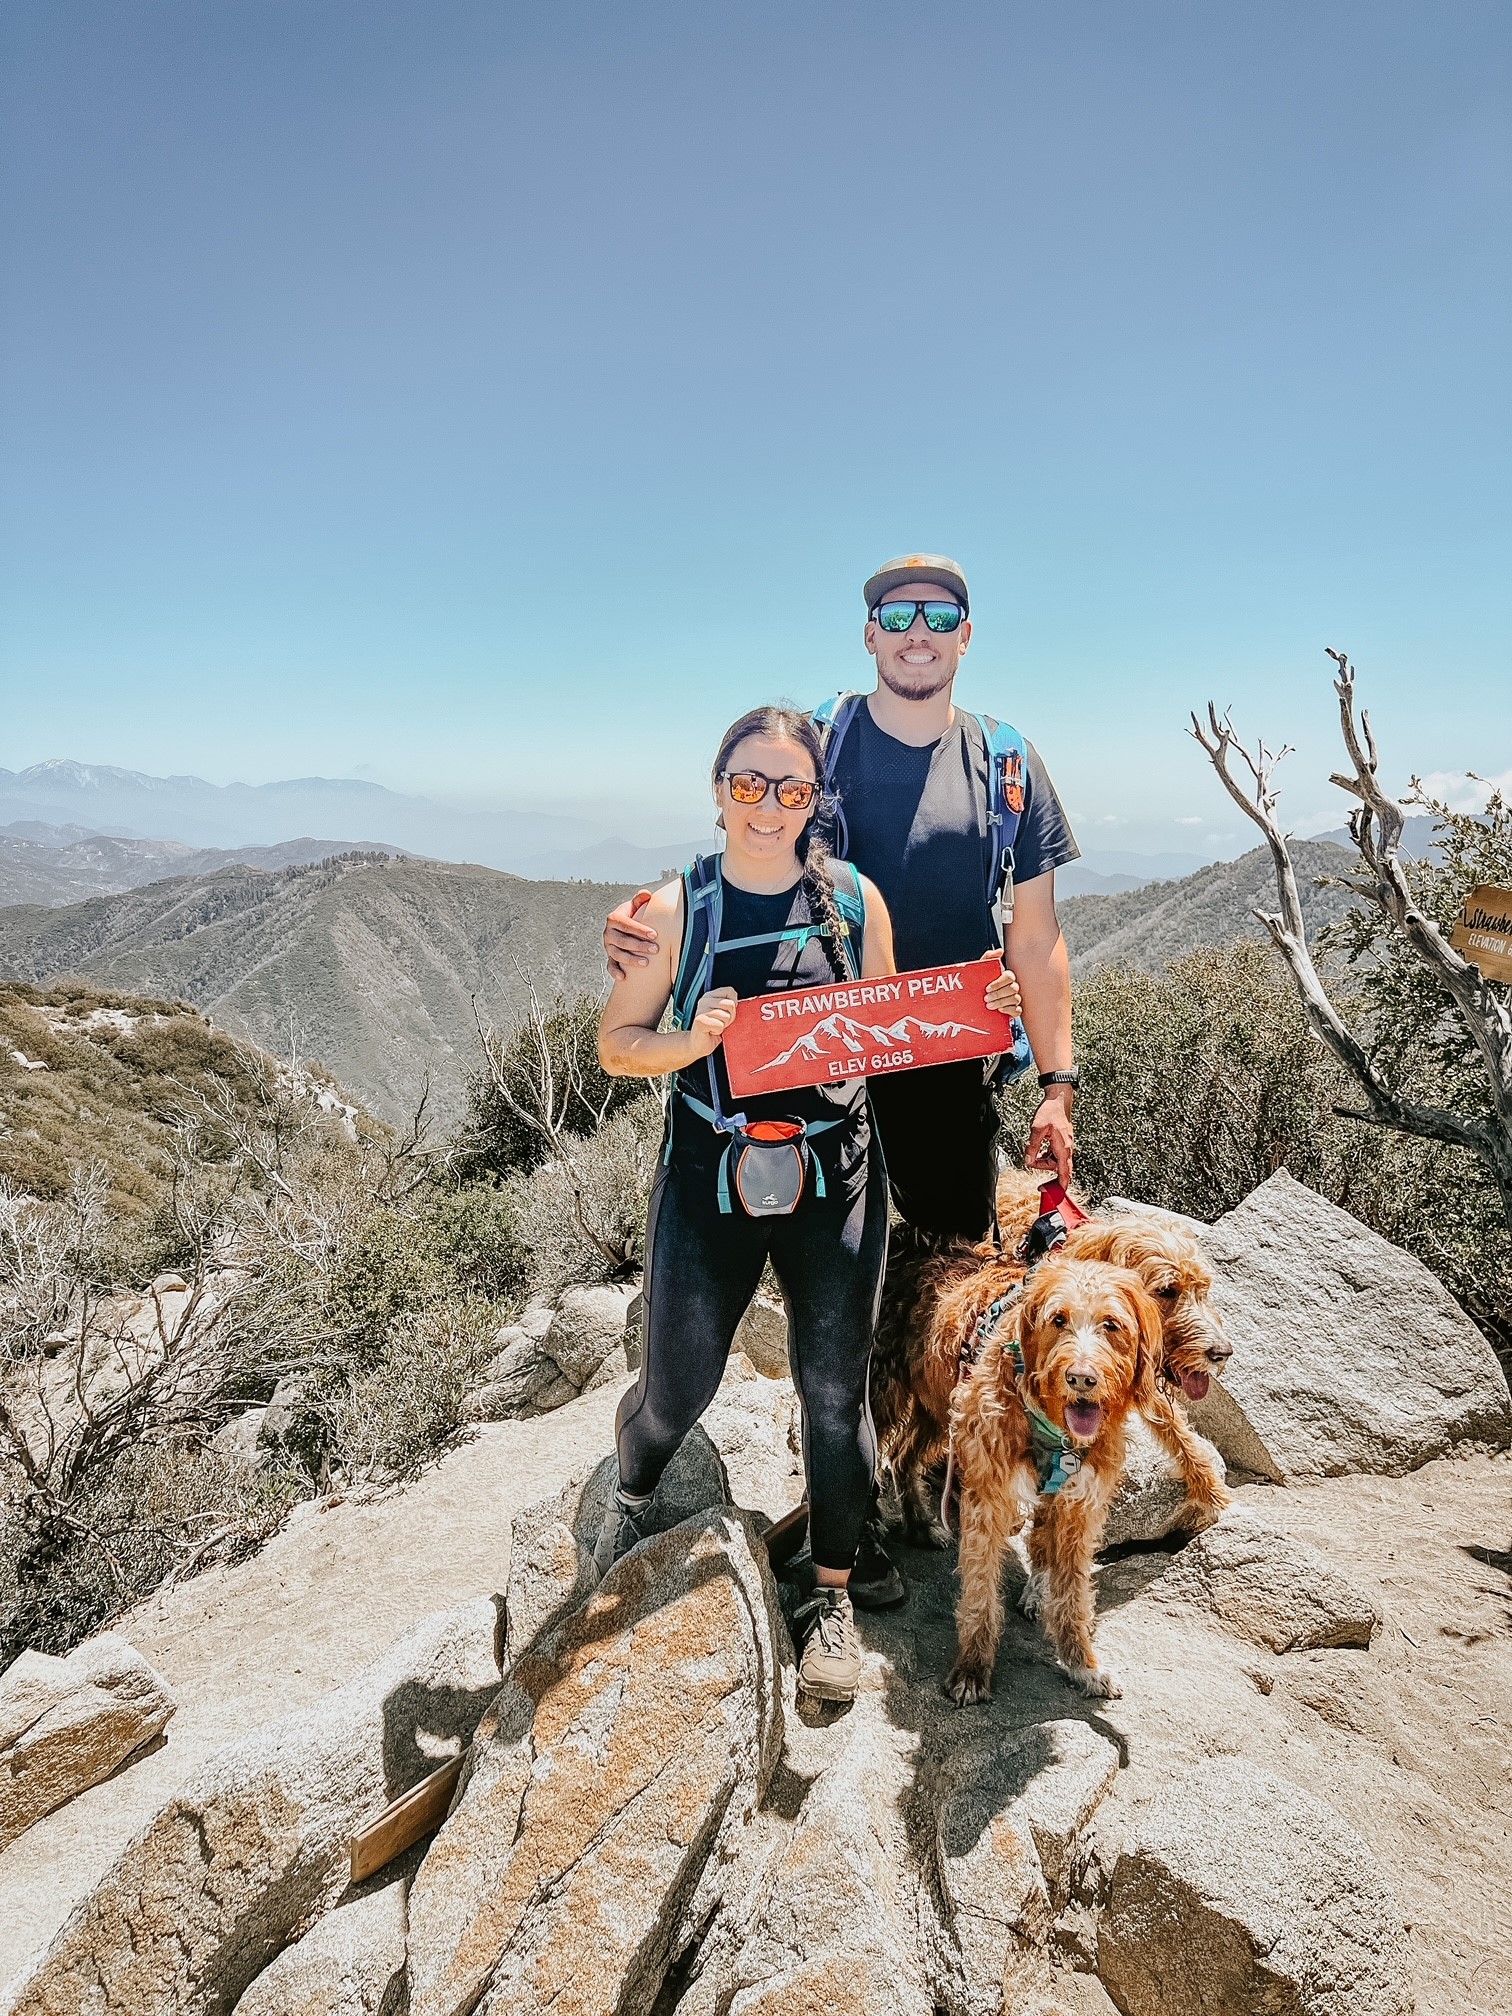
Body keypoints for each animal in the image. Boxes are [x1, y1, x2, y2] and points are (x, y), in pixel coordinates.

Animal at [947, 1257, 1161, 1701]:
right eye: (1058, 1319)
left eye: (1112, 1325)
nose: (1081, 1379)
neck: (1055, 1428)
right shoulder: (987, 1496)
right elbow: (979, 1589)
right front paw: (972, 1668)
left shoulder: (1080, 1506)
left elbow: (1074, 1591)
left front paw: (1083, 1666)